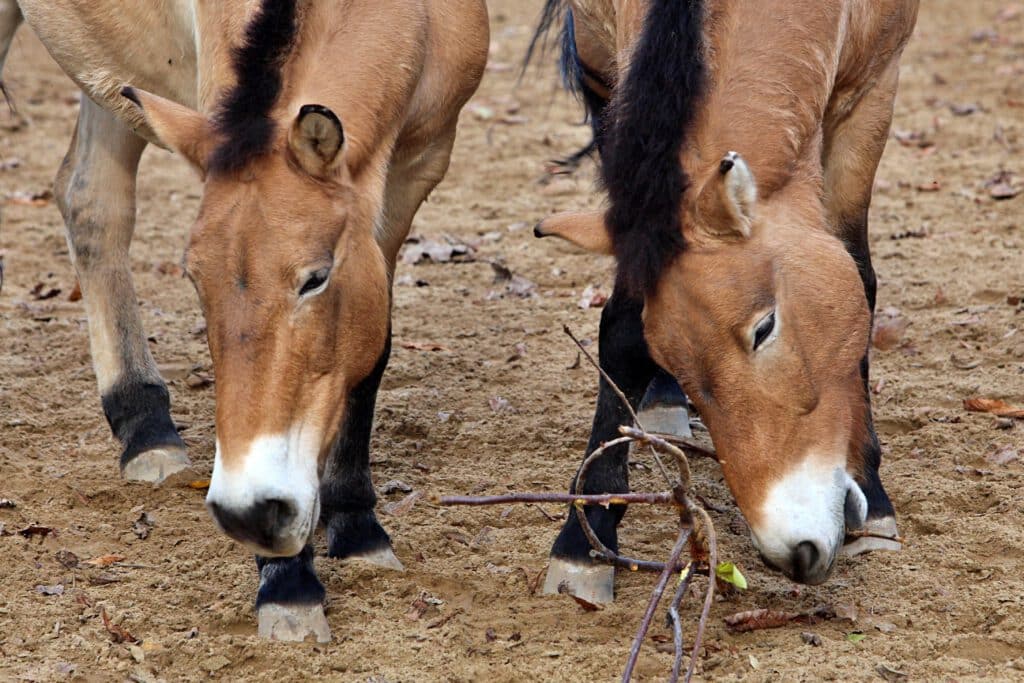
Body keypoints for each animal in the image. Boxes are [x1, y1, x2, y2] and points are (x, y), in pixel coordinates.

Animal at [2, 0, 487, 643]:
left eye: (315, 278)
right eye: (193, 280)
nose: (249, 513)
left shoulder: (412, 175)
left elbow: (371, 356)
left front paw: (356, 524)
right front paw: (288, 587)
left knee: (92, 201)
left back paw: (144, 424)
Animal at [532, 0, 917, 602]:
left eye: (765, 328)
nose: (795, 551)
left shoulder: (872, 91)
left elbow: (860, 271)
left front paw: (874, 498)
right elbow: (621, 326)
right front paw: (585, 539)